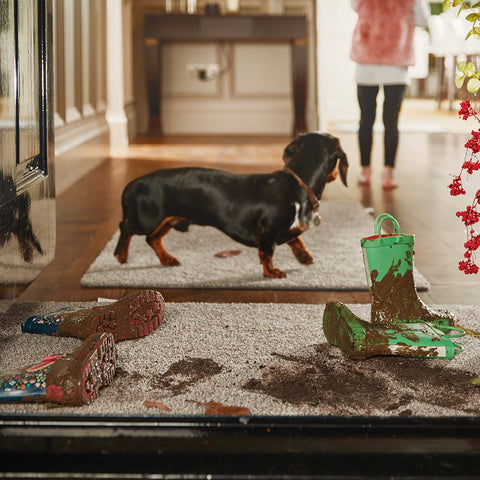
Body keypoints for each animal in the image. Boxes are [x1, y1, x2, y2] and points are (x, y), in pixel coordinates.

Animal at [116, 133, 348, 280]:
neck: (297, 183)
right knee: (125, 228)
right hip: (147, 219)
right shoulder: (267, 229)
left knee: (152, 238)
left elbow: (296, 238)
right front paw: (271, 272)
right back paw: (121, 255)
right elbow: (267, 253)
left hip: (168, 219)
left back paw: (167, 258)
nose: (336, 175)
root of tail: (131, 184)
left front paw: (304, 256)